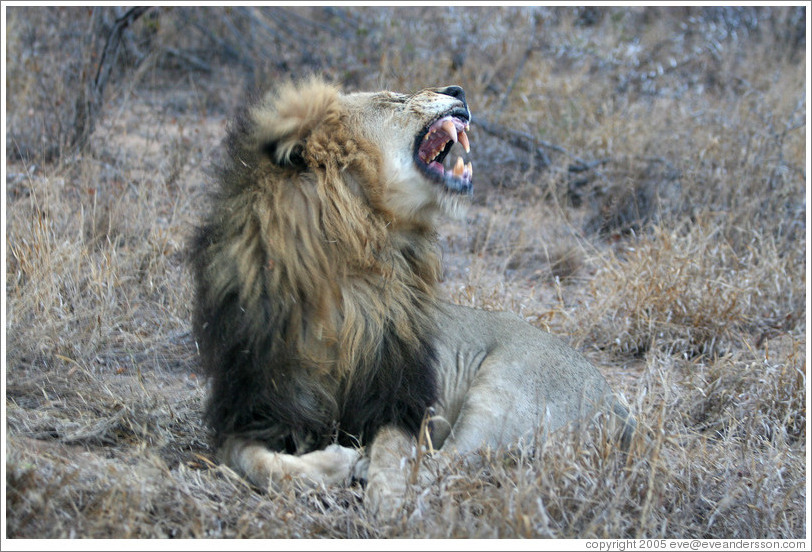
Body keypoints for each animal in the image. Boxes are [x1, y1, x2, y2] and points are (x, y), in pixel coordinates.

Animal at [190, 78, 635, 517]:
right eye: (393, 99)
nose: (457, 90)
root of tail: (615, 401)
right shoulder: (256, 405)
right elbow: (249, 459)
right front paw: (335, 464)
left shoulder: (402, 398)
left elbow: (395, 450)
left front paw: (384, 498)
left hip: (505, 391)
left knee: (449, 460)